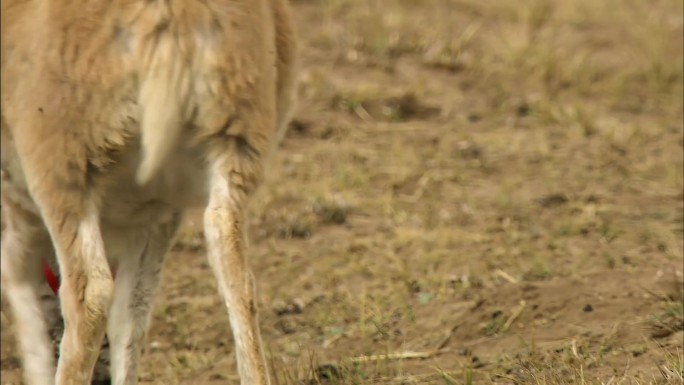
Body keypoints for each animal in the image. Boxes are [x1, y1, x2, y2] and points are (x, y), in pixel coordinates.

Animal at [1, 0, 298, 382]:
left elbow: (17, 275)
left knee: (90, 294)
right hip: (234, 148)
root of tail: (174, 11)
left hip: (63, 170)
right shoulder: (153, 217)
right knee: (233, 269)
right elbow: (133, 311)